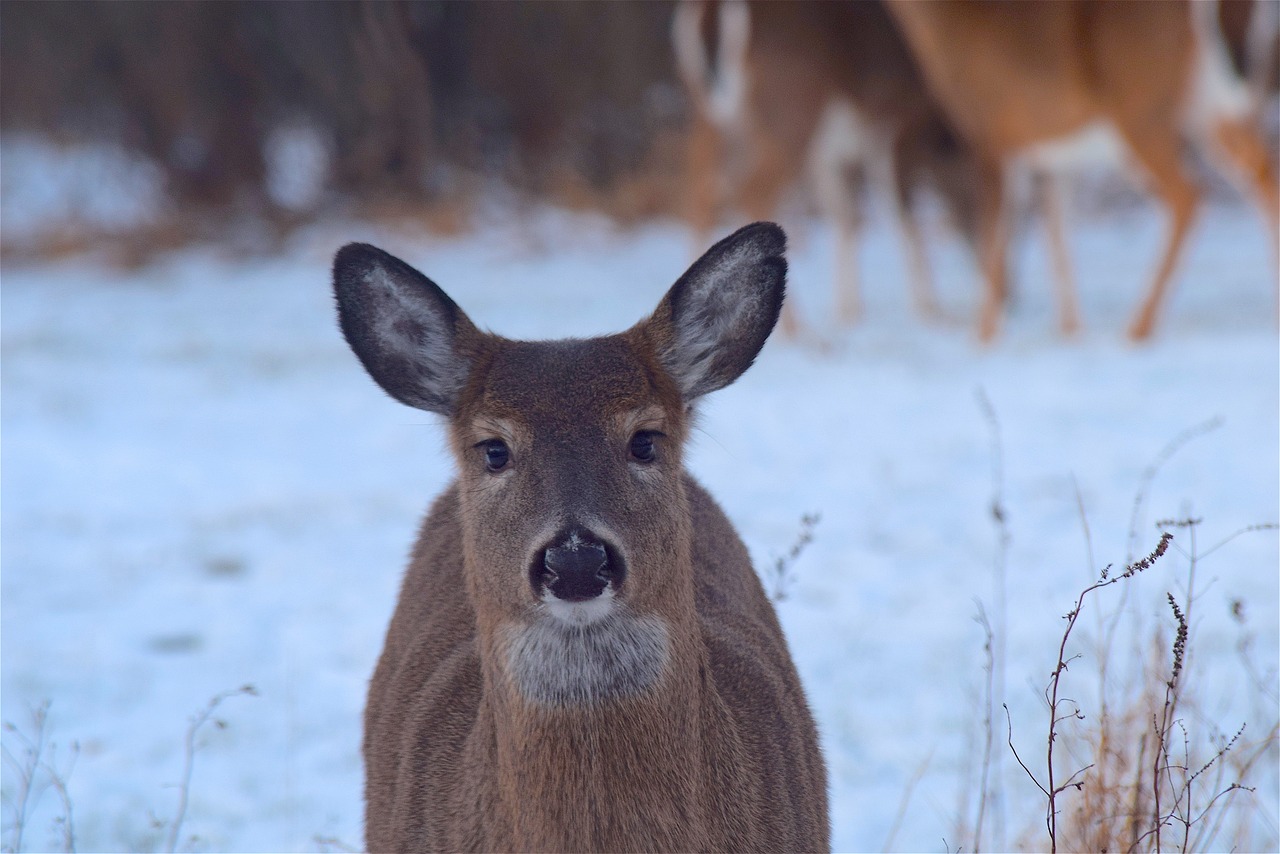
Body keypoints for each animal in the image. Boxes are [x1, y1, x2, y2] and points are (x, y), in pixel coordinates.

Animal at [675, 0, 983, 338]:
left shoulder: (828, 153)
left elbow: (846, 216)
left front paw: (849, 313)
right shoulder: (896, 125)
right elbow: (899, 211)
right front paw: (933, 312)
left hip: (708, 113)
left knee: (698, 187)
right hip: (789, 110)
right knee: (750, 190)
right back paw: (798, 331)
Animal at [890, 0, 1280, 340]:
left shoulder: (992, 136)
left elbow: (996, 235)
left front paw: (983, 336)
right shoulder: (1050, 155)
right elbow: (1057, 233)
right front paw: (1070, 330)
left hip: (1141, 108)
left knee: (1188, 194)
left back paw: (1138, 327)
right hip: (1209, 100)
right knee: (1262, 169)